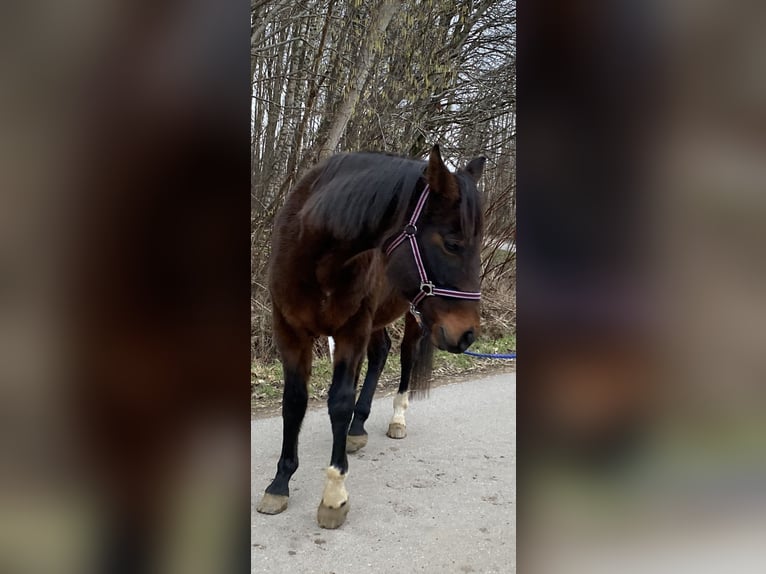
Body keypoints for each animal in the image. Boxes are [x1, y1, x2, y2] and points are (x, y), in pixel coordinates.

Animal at [258, 145, 486, 532]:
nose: (468, 333)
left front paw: (333, 496)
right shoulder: (290, 331)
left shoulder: (352, 331)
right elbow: (294, 402)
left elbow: (339, 401)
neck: (316, 256)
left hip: (413, 315)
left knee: (406, 358)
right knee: (381, 353)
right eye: (453, 243)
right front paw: (279, 483)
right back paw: (357, 427)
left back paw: (396, 420)